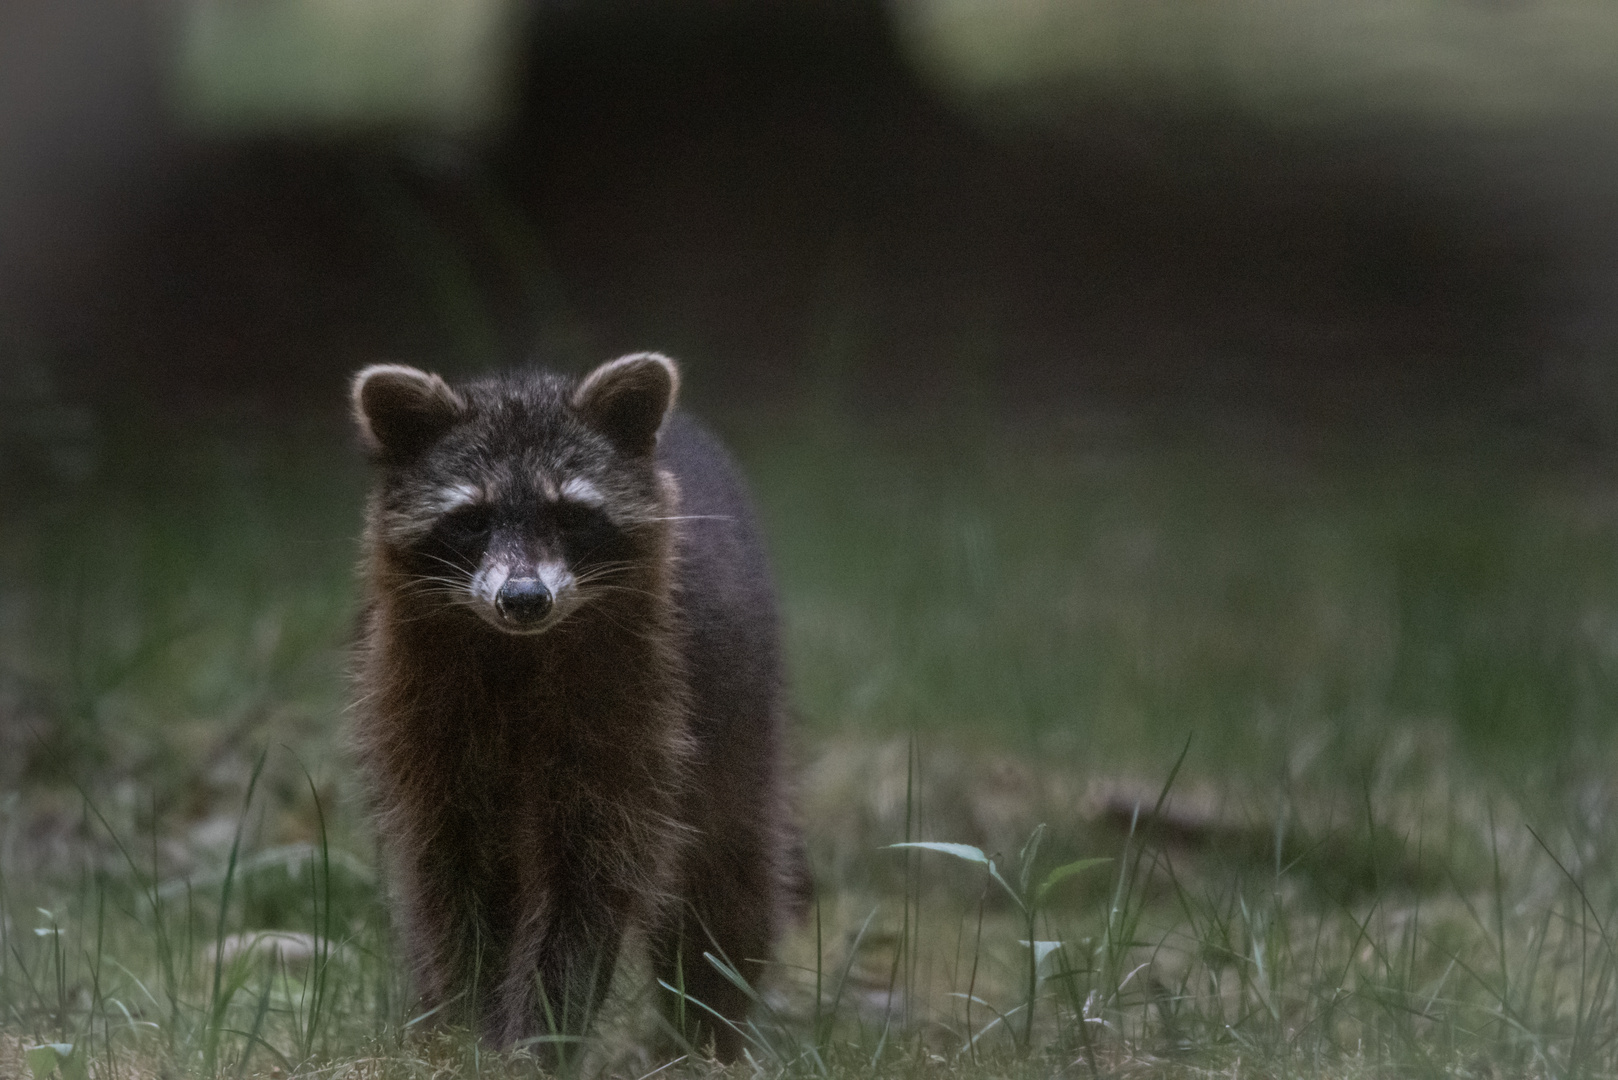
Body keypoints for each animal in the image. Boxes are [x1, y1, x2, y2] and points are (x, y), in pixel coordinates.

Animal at [357, 356, 805, 1062]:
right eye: (474, 519)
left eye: (569, 516)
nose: (523, 598)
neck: (517, 650)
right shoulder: (421, 712)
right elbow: (451, 877)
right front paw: (462, 1026)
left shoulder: (636, 710)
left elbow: (587, 881)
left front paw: (537, 1035)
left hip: (737, 713)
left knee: (726, 879)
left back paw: (707, 1029)